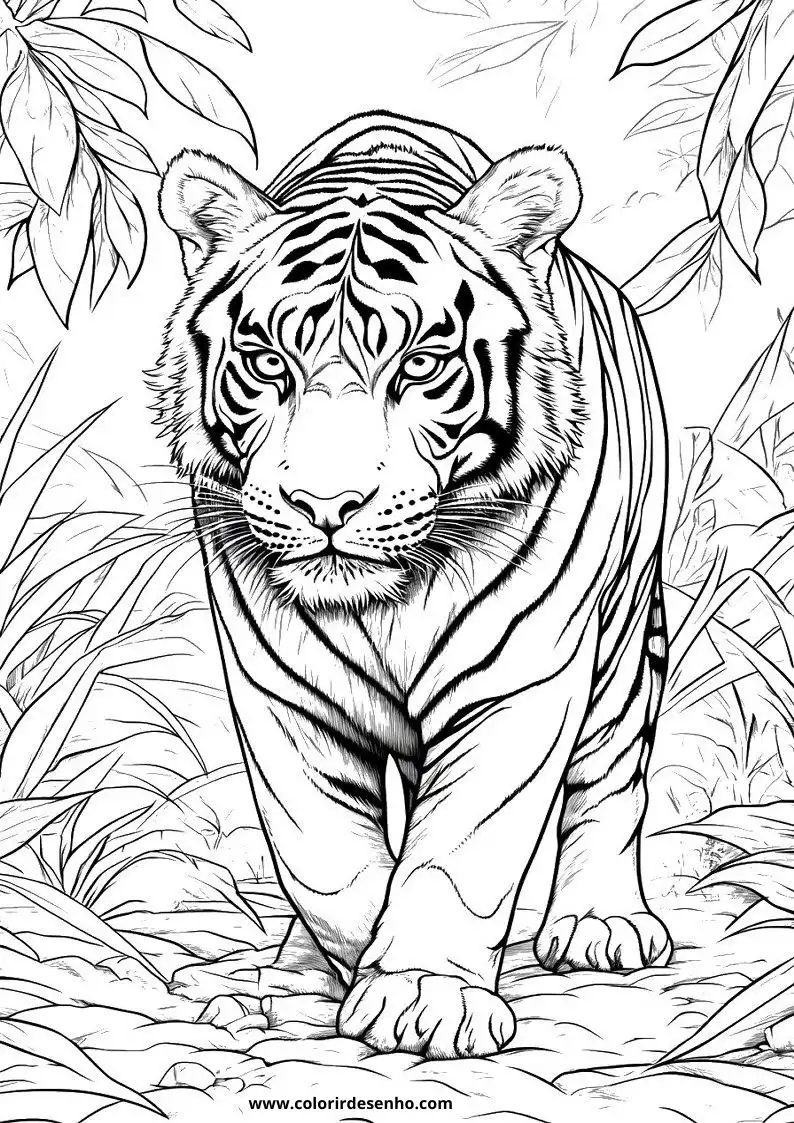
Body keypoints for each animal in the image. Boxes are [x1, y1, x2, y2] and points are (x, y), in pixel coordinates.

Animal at [153, 110, 672, 1060]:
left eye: (423, 365)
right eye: (266, 362)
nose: (326, 504)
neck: (382, 604)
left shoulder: (518, 681)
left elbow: (458, 851)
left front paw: (425, 996)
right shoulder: (280, 691)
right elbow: (325, 858)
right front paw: (335, 975)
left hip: (623, 639)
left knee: (613, 773)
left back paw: (600, 923)